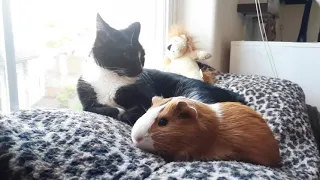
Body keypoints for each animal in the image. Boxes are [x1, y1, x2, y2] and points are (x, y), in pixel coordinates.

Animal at [77, 13, 245, 126]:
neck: (110, 77)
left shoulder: (146, 94)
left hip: (194, 92)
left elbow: (139, 109)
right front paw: (116, 111)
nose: (140, 69)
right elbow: (94, 108)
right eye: (127, 54)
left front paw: (127, 114)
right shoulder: (86, 98)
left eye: (142, 56)